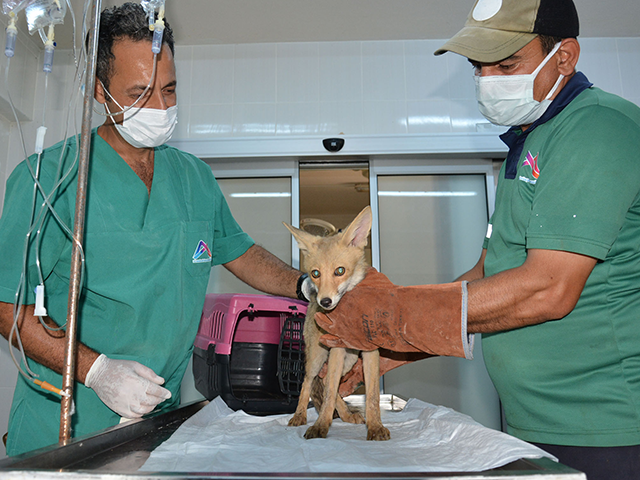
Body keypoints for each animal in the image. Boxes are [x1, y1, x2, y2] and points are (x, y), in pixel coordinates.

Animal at [284, 204, 390, 440]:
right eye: (315, 273)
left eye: (339, 271)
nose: (325, 302)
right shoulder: (336, 350)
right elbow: (330, 392)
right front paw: (320, 427)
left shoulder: (370, 352)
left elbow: (372, 397)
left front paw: (375, 427)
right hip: (319, 358)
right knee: (310, 383)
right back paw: (299, 416)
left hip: (348, 360)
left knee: (325, 384)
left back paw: (348, 415)